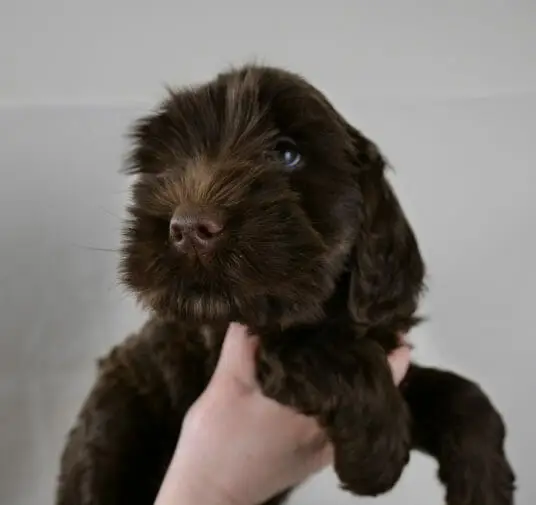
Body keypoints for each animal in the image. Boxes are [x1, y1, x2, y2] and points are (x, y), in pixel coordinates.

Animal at [54, 65, 516, 502]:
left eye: (287, 154)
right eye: (171, 163)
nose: (189, 228)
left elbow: (461, 394)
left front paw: (485, 484)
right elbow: (325, 349)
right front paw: (376, 457)